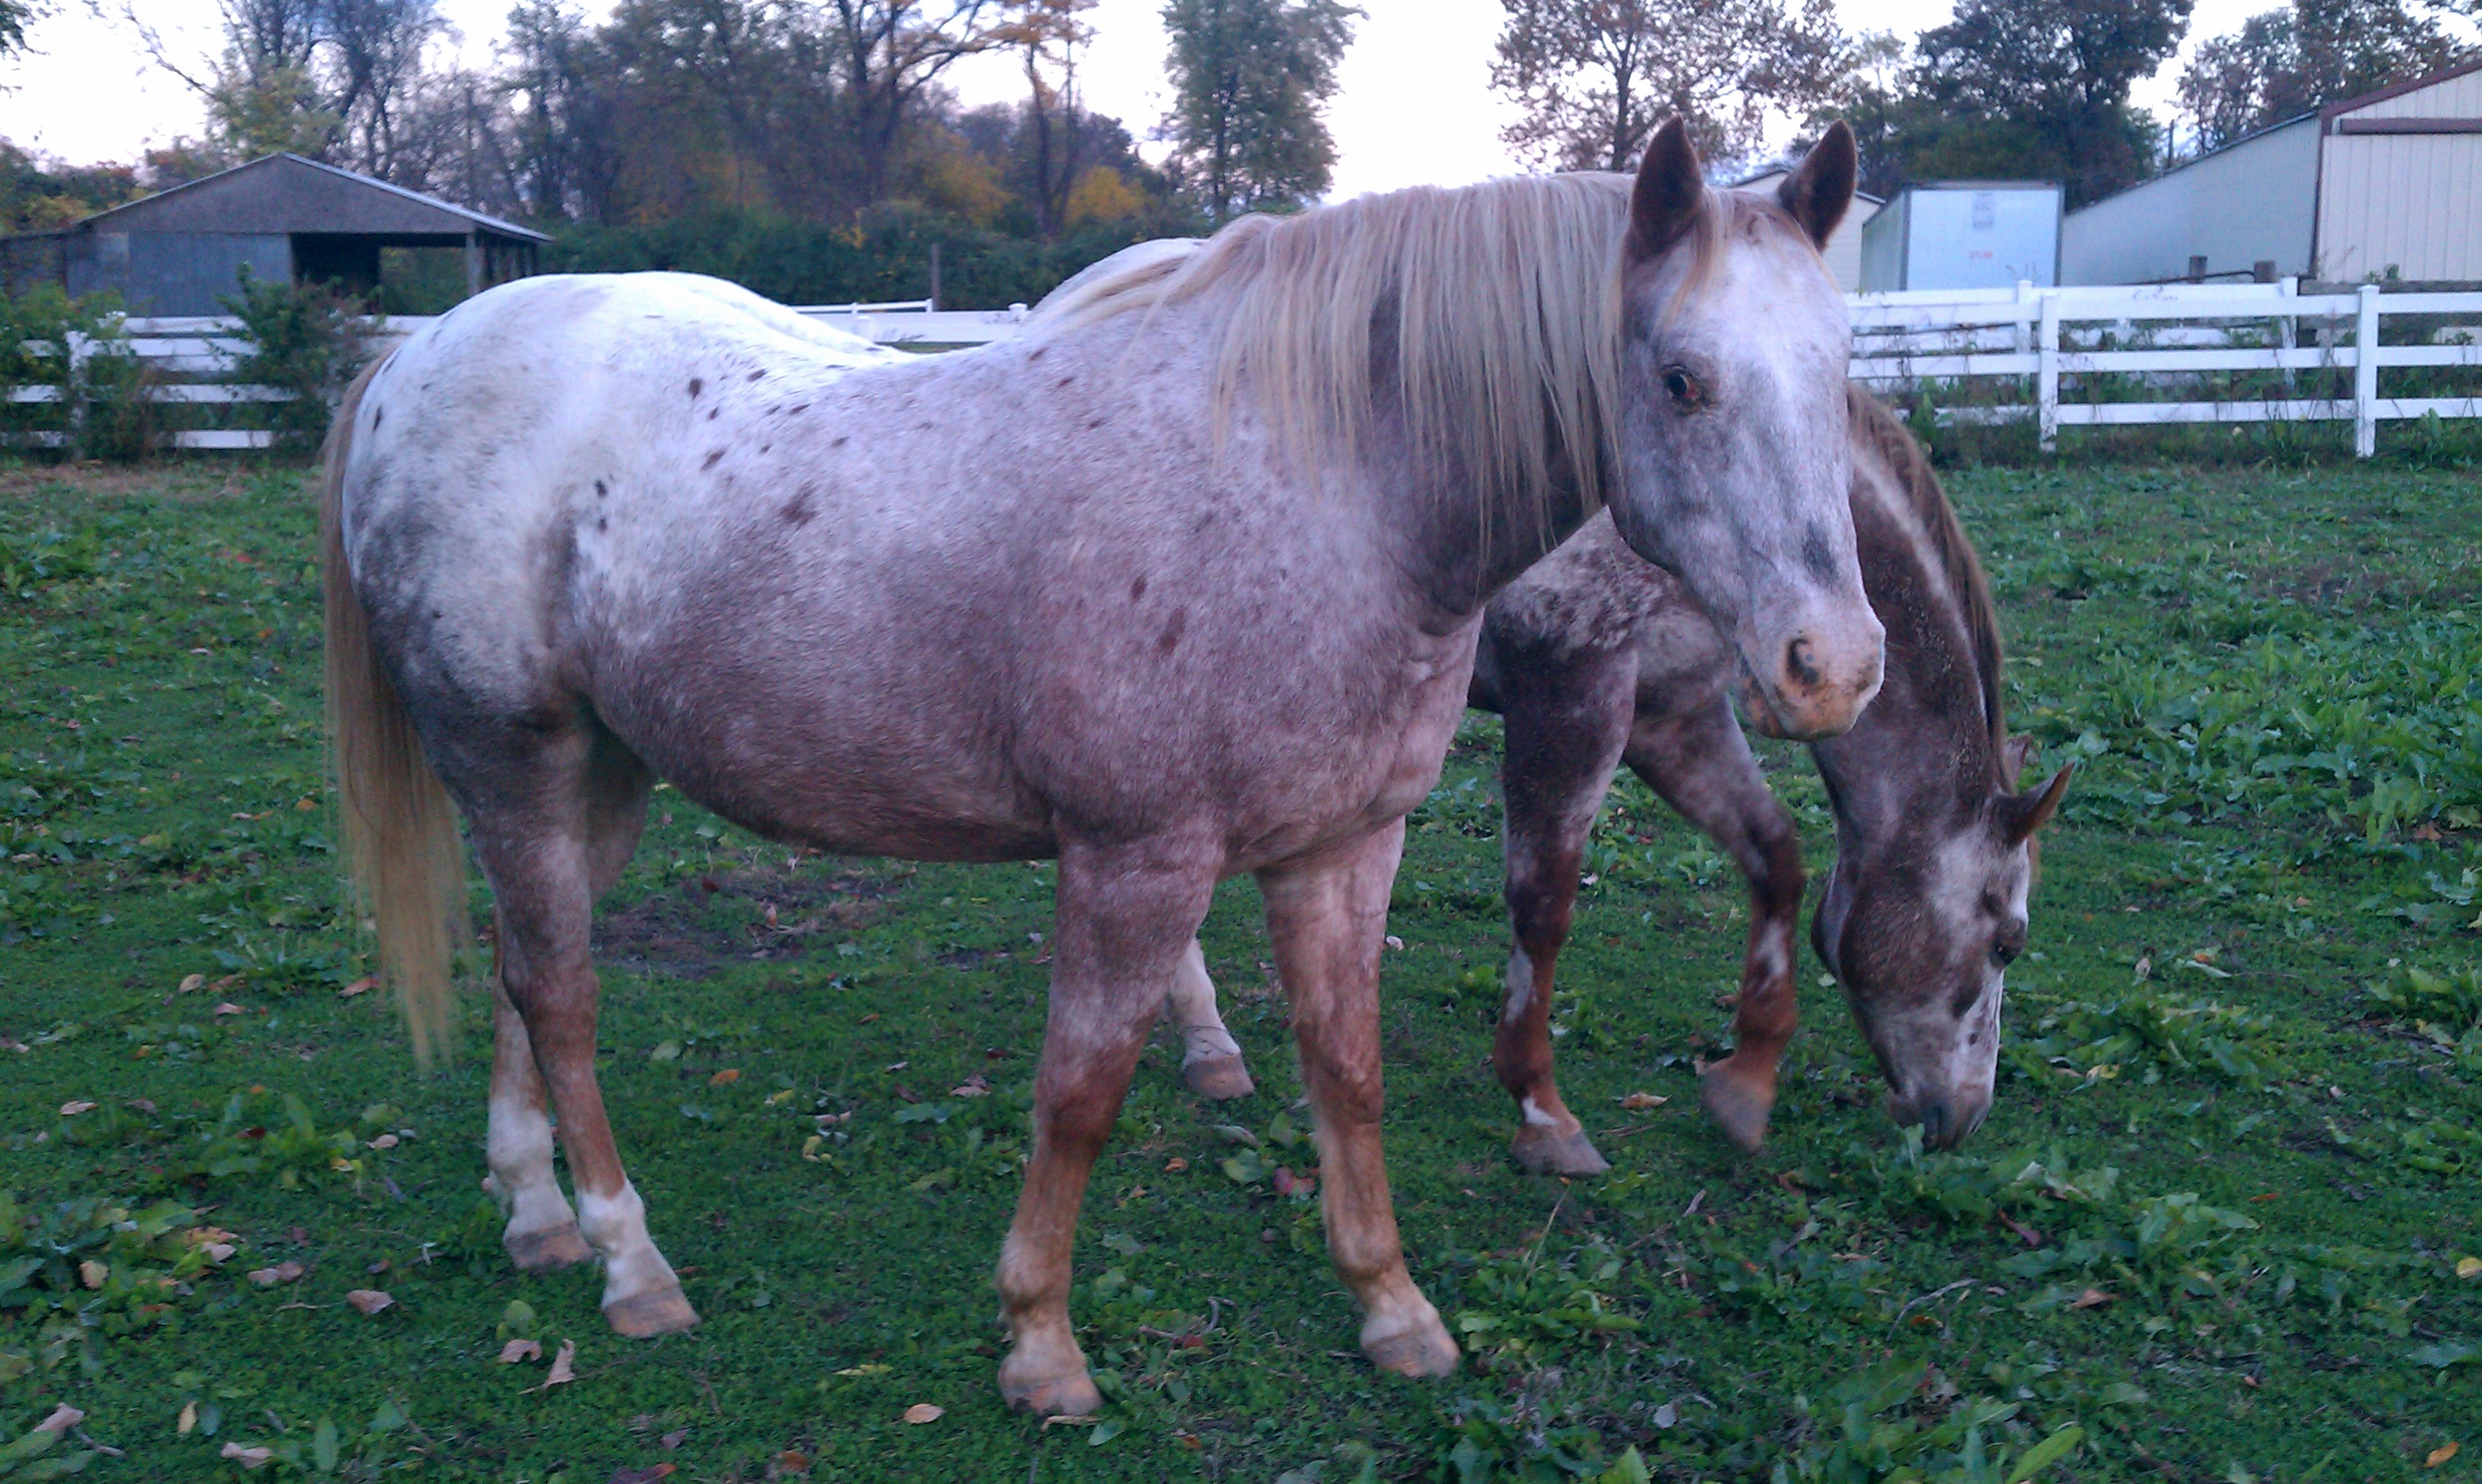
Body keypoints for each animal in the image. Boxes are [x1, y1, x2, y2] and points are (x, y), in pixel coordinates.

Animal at [325, 125, 1876, 1419]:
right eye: (1679, 378)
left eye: (1840, 378)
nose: (1834, 665)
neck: (1329, 484)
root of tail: (419, 357)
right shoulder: (1138, 858)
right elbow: (1077, 1095)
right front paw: (1039, 1343)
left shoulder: (1341, 847)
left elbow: (1347, 1071)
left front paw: (1391, 1306)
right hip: (512, 759)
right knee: (563, 996)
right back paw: (630, 1263)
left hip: (601, 776)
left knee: (528, 974)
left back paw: (536, 1215)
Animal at [1171, 389, 2065, 1171]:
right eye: (2007, 941)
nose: (1963, 1115)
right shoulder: (1572, 685)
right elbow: (1544, 905)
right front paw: (1542, 1112)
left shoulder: (1673, 712)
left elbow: (1775, 853)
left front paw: (1747, 1079)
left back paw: (1209, 1047)